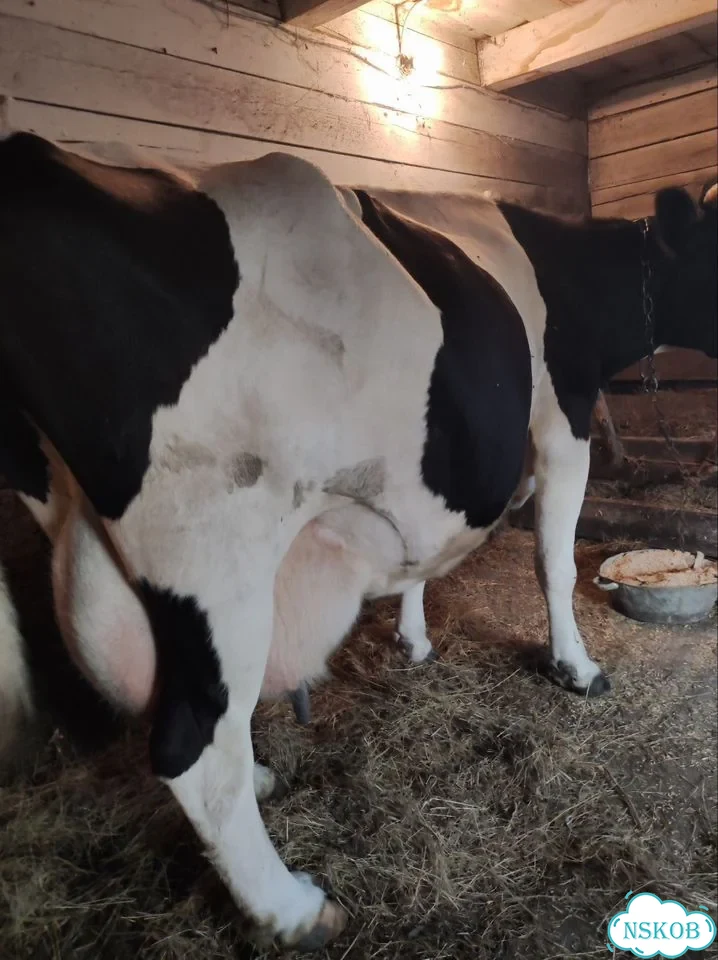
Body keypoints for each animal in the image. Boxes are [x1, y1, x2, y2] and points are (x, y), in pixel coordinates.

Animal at [0, 130, 715, 950]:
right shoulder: (562, 422)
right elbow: (555, 563)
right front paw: (577, 667)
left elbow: (421, 555)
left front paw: (413, 638)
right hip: (212, 548)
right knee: (193, 747)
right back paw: (293, 908)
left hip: (85, 531)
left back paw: (263, 781)